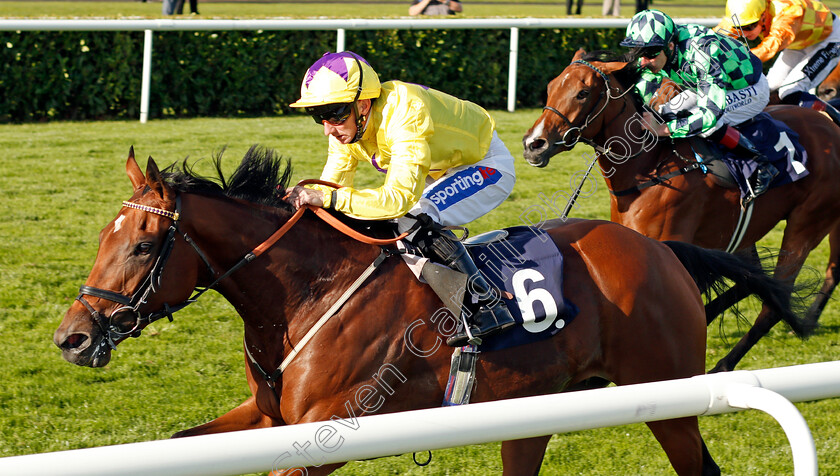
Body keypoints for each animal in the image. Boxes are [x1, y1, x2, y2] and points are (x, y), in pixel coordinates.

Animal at [52, 147, 800, 474]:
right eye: (103, 241)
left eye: (143, 245)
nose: (72, 337)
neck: (304, 295)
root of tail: (659, 249)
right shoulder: (267, 417)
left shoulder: (326, 434)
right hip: (536, 407)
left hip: (666, 395)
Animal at [520, 51, 836, 372]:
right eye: (550, 87)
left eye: (582, 93)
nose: (534, 144)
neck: (648, 168)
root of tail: (831, 126)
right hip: (742, 235)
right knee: (752, 281)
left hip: (807, 223)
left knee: (774, 301)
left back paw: (722, 365)